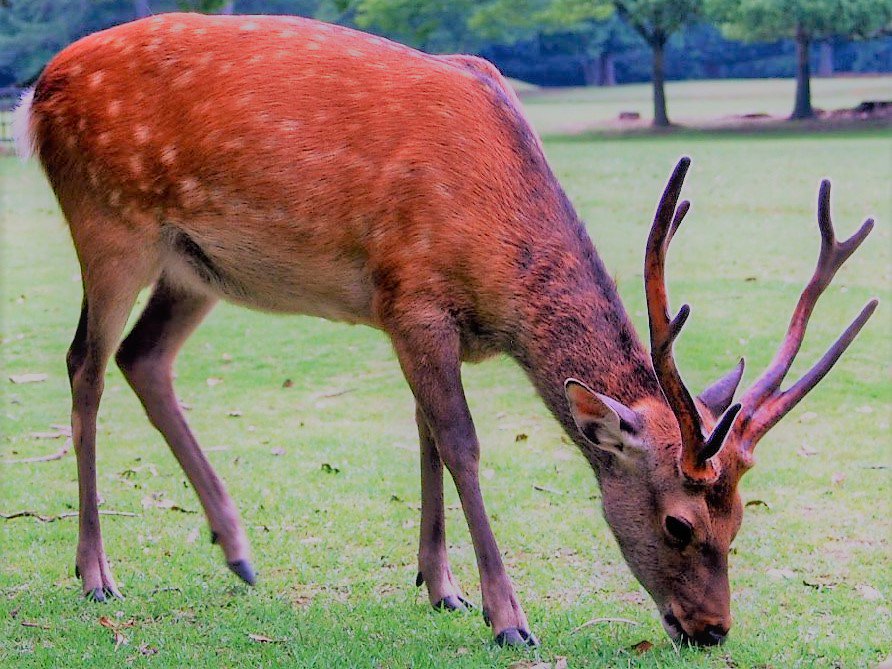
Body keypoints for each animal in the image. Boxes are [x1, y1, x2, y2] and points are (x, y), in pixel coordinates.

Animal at [15, 10, 880, 648]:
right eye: (679, 521)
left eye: (740, 517)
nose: (712, 628)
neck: (493, 270)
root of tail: (38, 88)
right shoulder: (414, 297)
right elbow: (460, 442)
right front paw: (508, 616)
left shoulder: (417, 318)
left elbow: (427, 433)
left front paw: (441, 586)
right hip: (109, 221)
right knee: (85, 362)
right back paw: (96, 571)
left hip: (195, 266)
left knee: (144, 357)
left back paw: (238, 548)